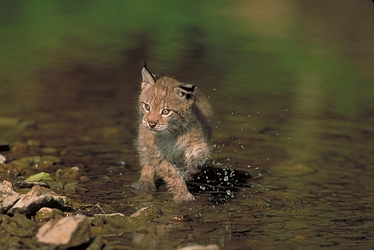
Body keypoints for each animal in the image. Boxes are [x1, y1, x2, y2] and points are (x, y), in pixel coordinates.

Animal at [131, 66, 213, 201]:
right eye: (147, 107)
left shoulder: (197, 140)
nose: (151, 124)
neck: (171, 133)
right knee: (146, 160)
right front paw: (183, 195)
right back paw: (145, 181)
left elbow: (199, 153)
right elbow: (172, 174)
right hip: (143, 137)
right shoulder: (156, 152)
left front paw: (194, 168)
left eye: (165, 111)